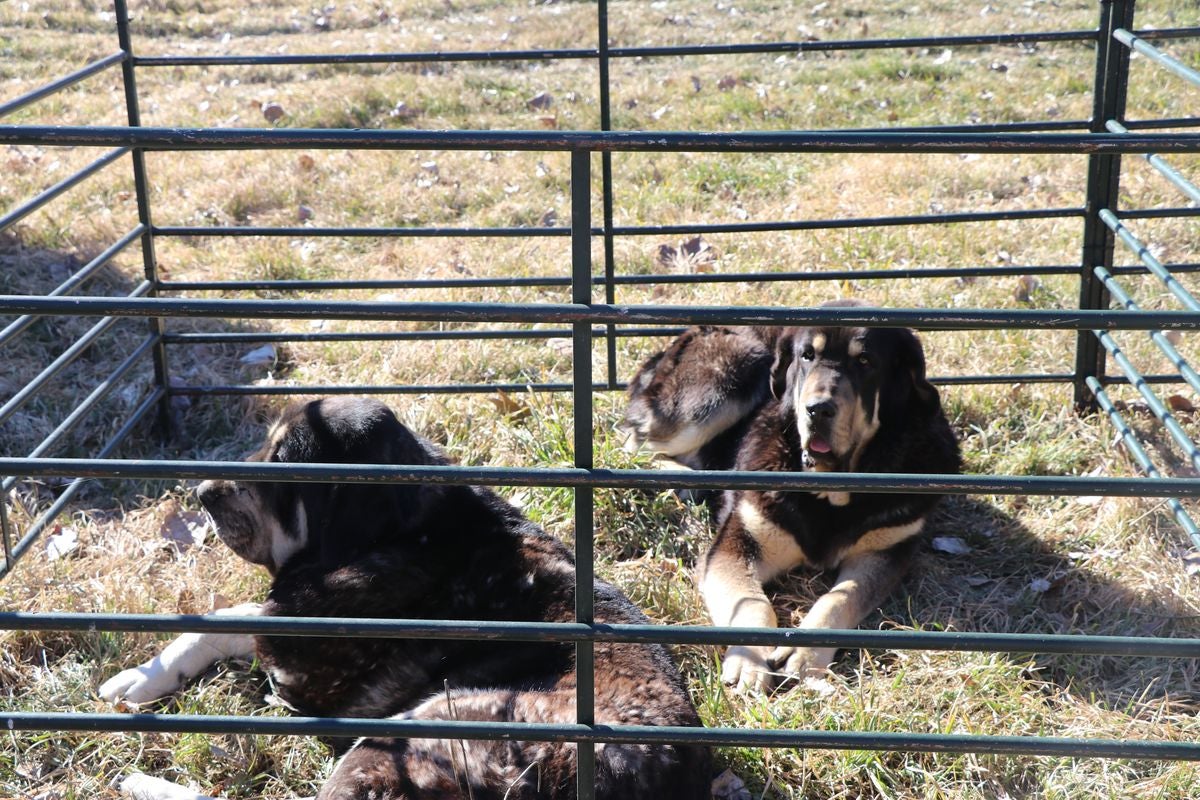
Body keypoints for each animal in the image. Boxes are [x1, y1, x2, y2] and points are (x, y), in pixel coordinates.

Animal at [100, 398, 710, 796]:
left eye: (281, 460)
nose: (202, 492)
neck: (409, 528)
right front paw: (146, 675)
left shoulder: (302, 658)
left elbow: (235, 623)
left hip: (406, 735)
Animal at [624, 303, 960, 690]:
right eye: (807, 356)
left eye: (865, 362)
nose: (818, 409)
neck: (830, 490)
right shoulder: (737, 542)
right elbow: (751, 602)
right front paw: (750, 659)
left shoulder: (886, 549)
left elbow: (839, 598)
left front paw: (805, 652)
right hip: (727, 381)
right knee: (632, 442)